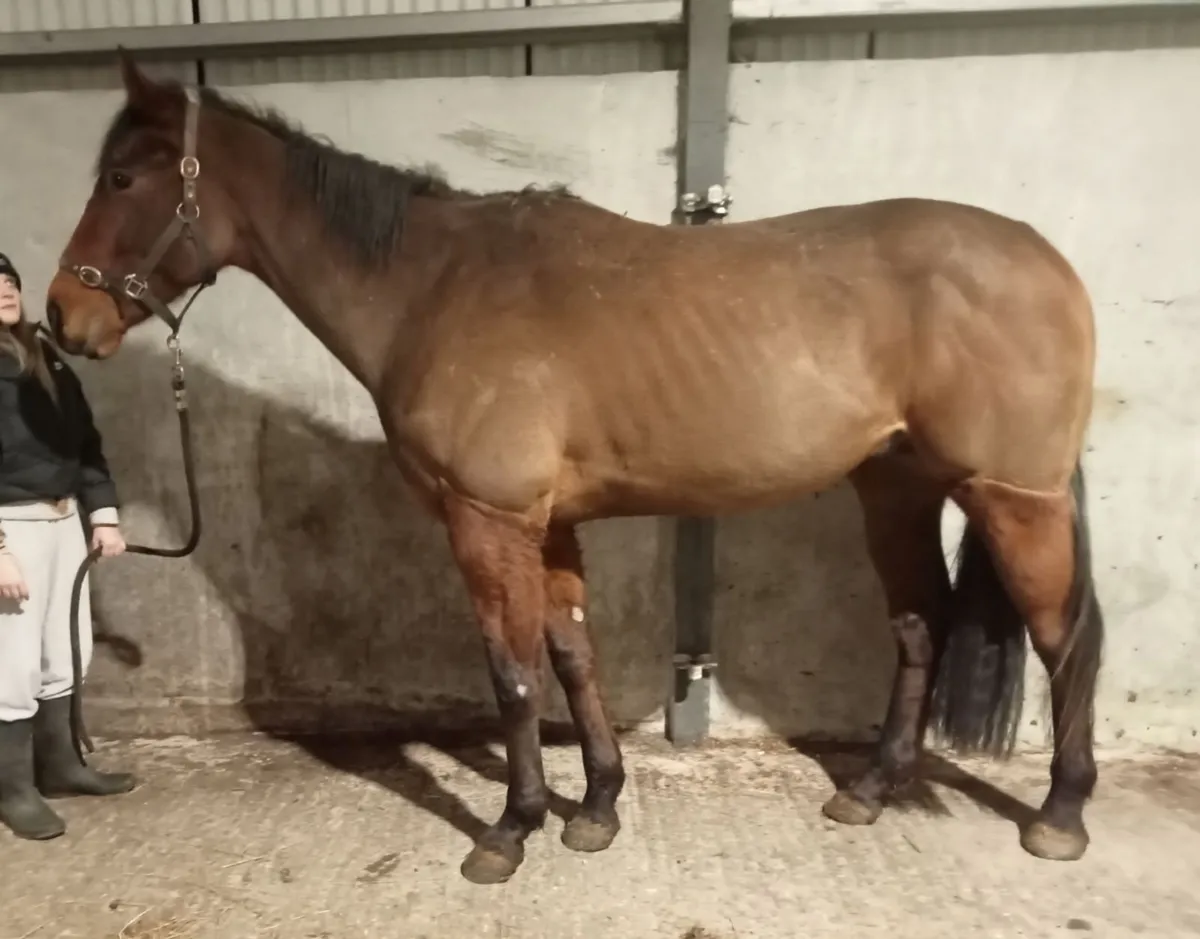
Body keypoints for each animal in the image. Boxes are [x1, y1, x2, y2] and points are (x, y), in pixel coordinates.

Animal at [46, 52, 1105, 885]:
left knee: (1069, 639)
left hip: (1015, 501)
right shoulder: (547, 525)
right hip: (896, 489)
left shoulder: (487, 520)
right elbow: (571, 657)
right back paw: (873, 789)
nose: (62, 314)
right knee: (922, 628)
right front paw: (595, 805)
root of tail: (1048, 262)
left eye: (124, 177)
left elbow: (512, 674)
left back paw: (1060, 816)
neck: (435, 286)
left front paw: (510, 829)